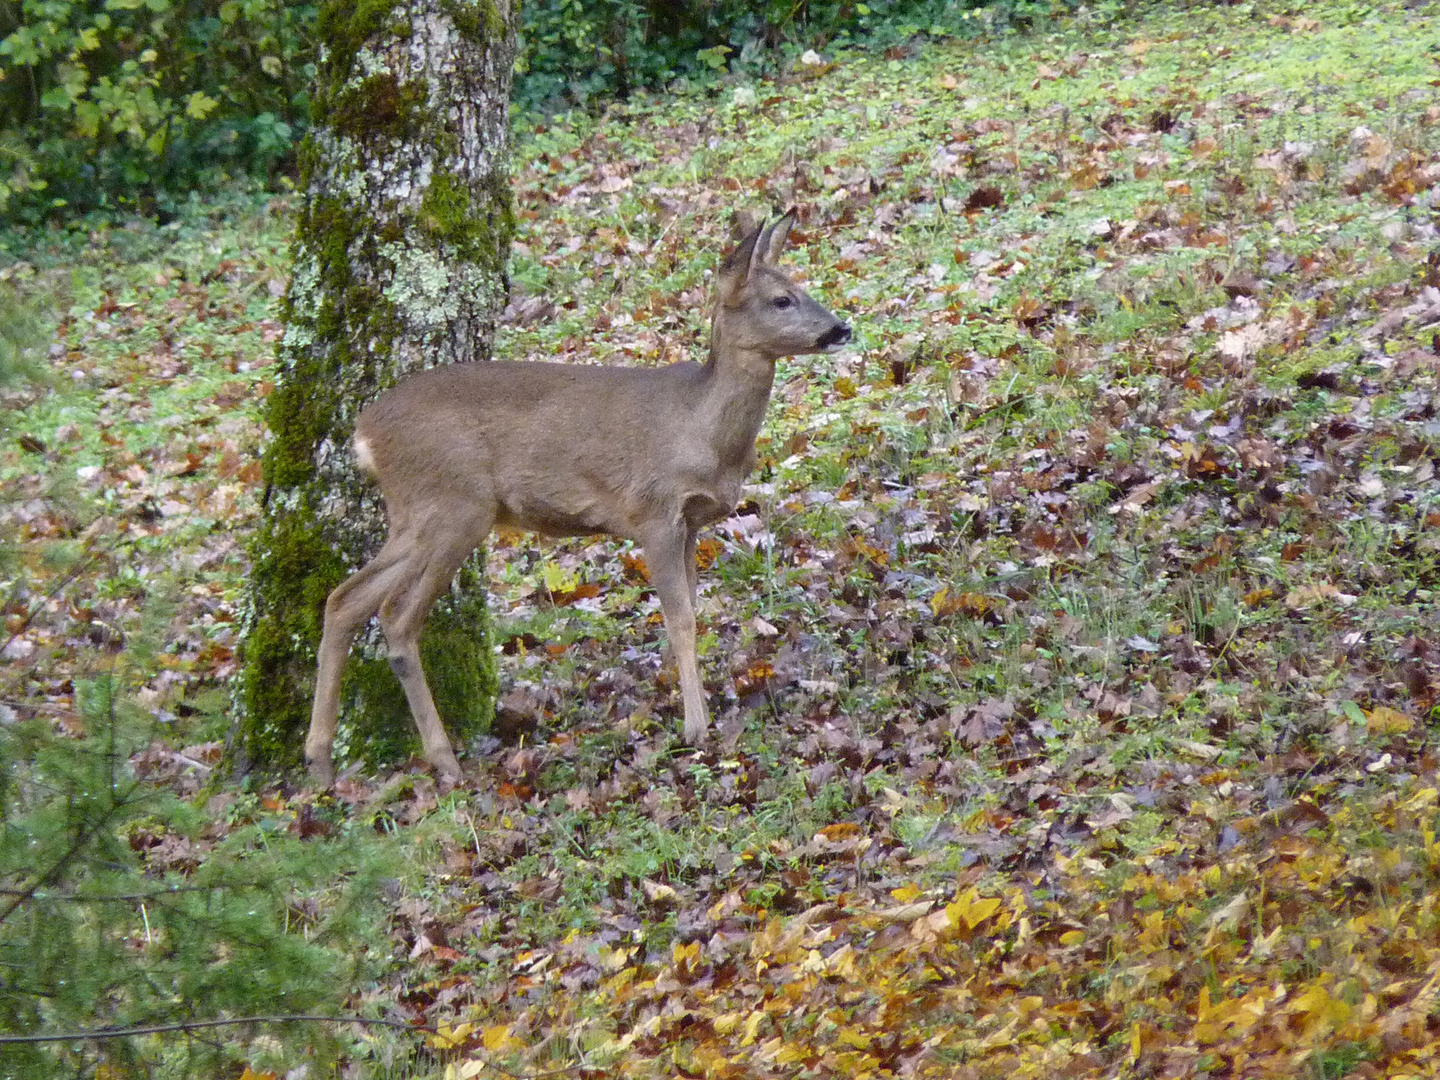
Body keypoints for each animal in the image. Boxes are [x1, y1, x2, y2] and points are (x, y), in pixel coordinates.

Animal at [303, 211, 840, 789]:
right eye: (782, 299)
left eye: (801, 286)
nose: (841, 329)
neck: (703, 430)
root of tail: (364, 433)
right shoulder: (653, 512)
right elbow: (679, 620)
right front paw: (695, 728)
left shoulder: (692, 522)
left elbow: (694, 611)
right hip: (455, 504)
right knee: (397, 618)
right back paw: (444, 761)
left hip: (415, 514)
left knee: (344, 600)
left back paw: (321, 762)